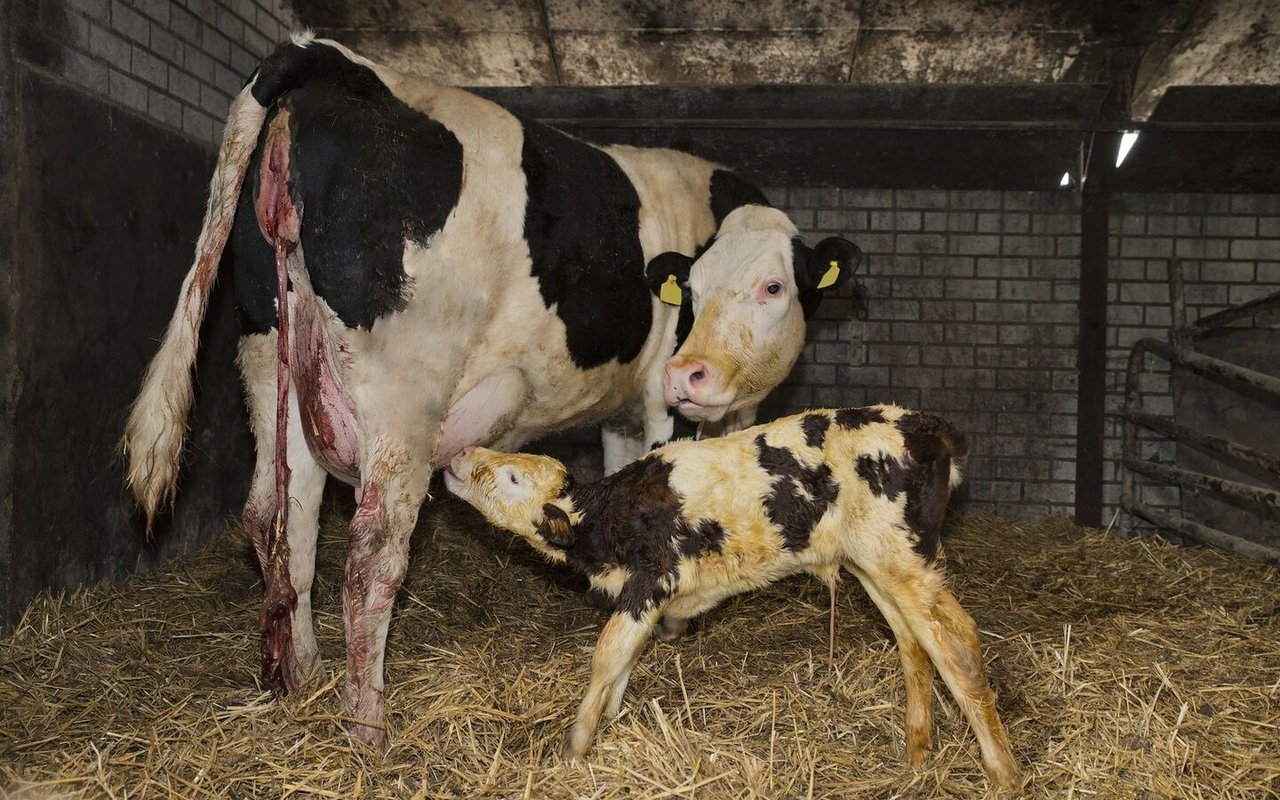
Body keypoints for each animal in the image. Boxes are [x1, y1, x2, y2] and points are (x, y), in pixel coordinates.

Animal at [122, 34, 860, 747]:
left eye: (772, 287)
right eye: (699, 293)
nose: (692, 374)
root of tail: (325, 57)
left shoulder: (625, 410)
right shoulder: (658, 403)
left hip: (272, 354)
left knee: (281, 521)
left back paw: (299, 677)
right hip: (403, 389)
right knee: (371, 552)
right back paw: (368, 726)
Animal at [442, 401, 1018, 788]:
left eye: (512, 476)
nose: (461, 451)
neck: (606, 518)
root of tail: (925, 426)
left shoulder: (651, 581)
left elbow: (606, 655)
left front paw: (575, 747)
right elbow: (624, 661)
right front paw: (607, 723)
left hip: (903, 558)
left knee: (956, 641)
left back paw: (1004, 774)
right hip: (876, 563)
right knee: (913, 645)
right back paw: (917, 757)